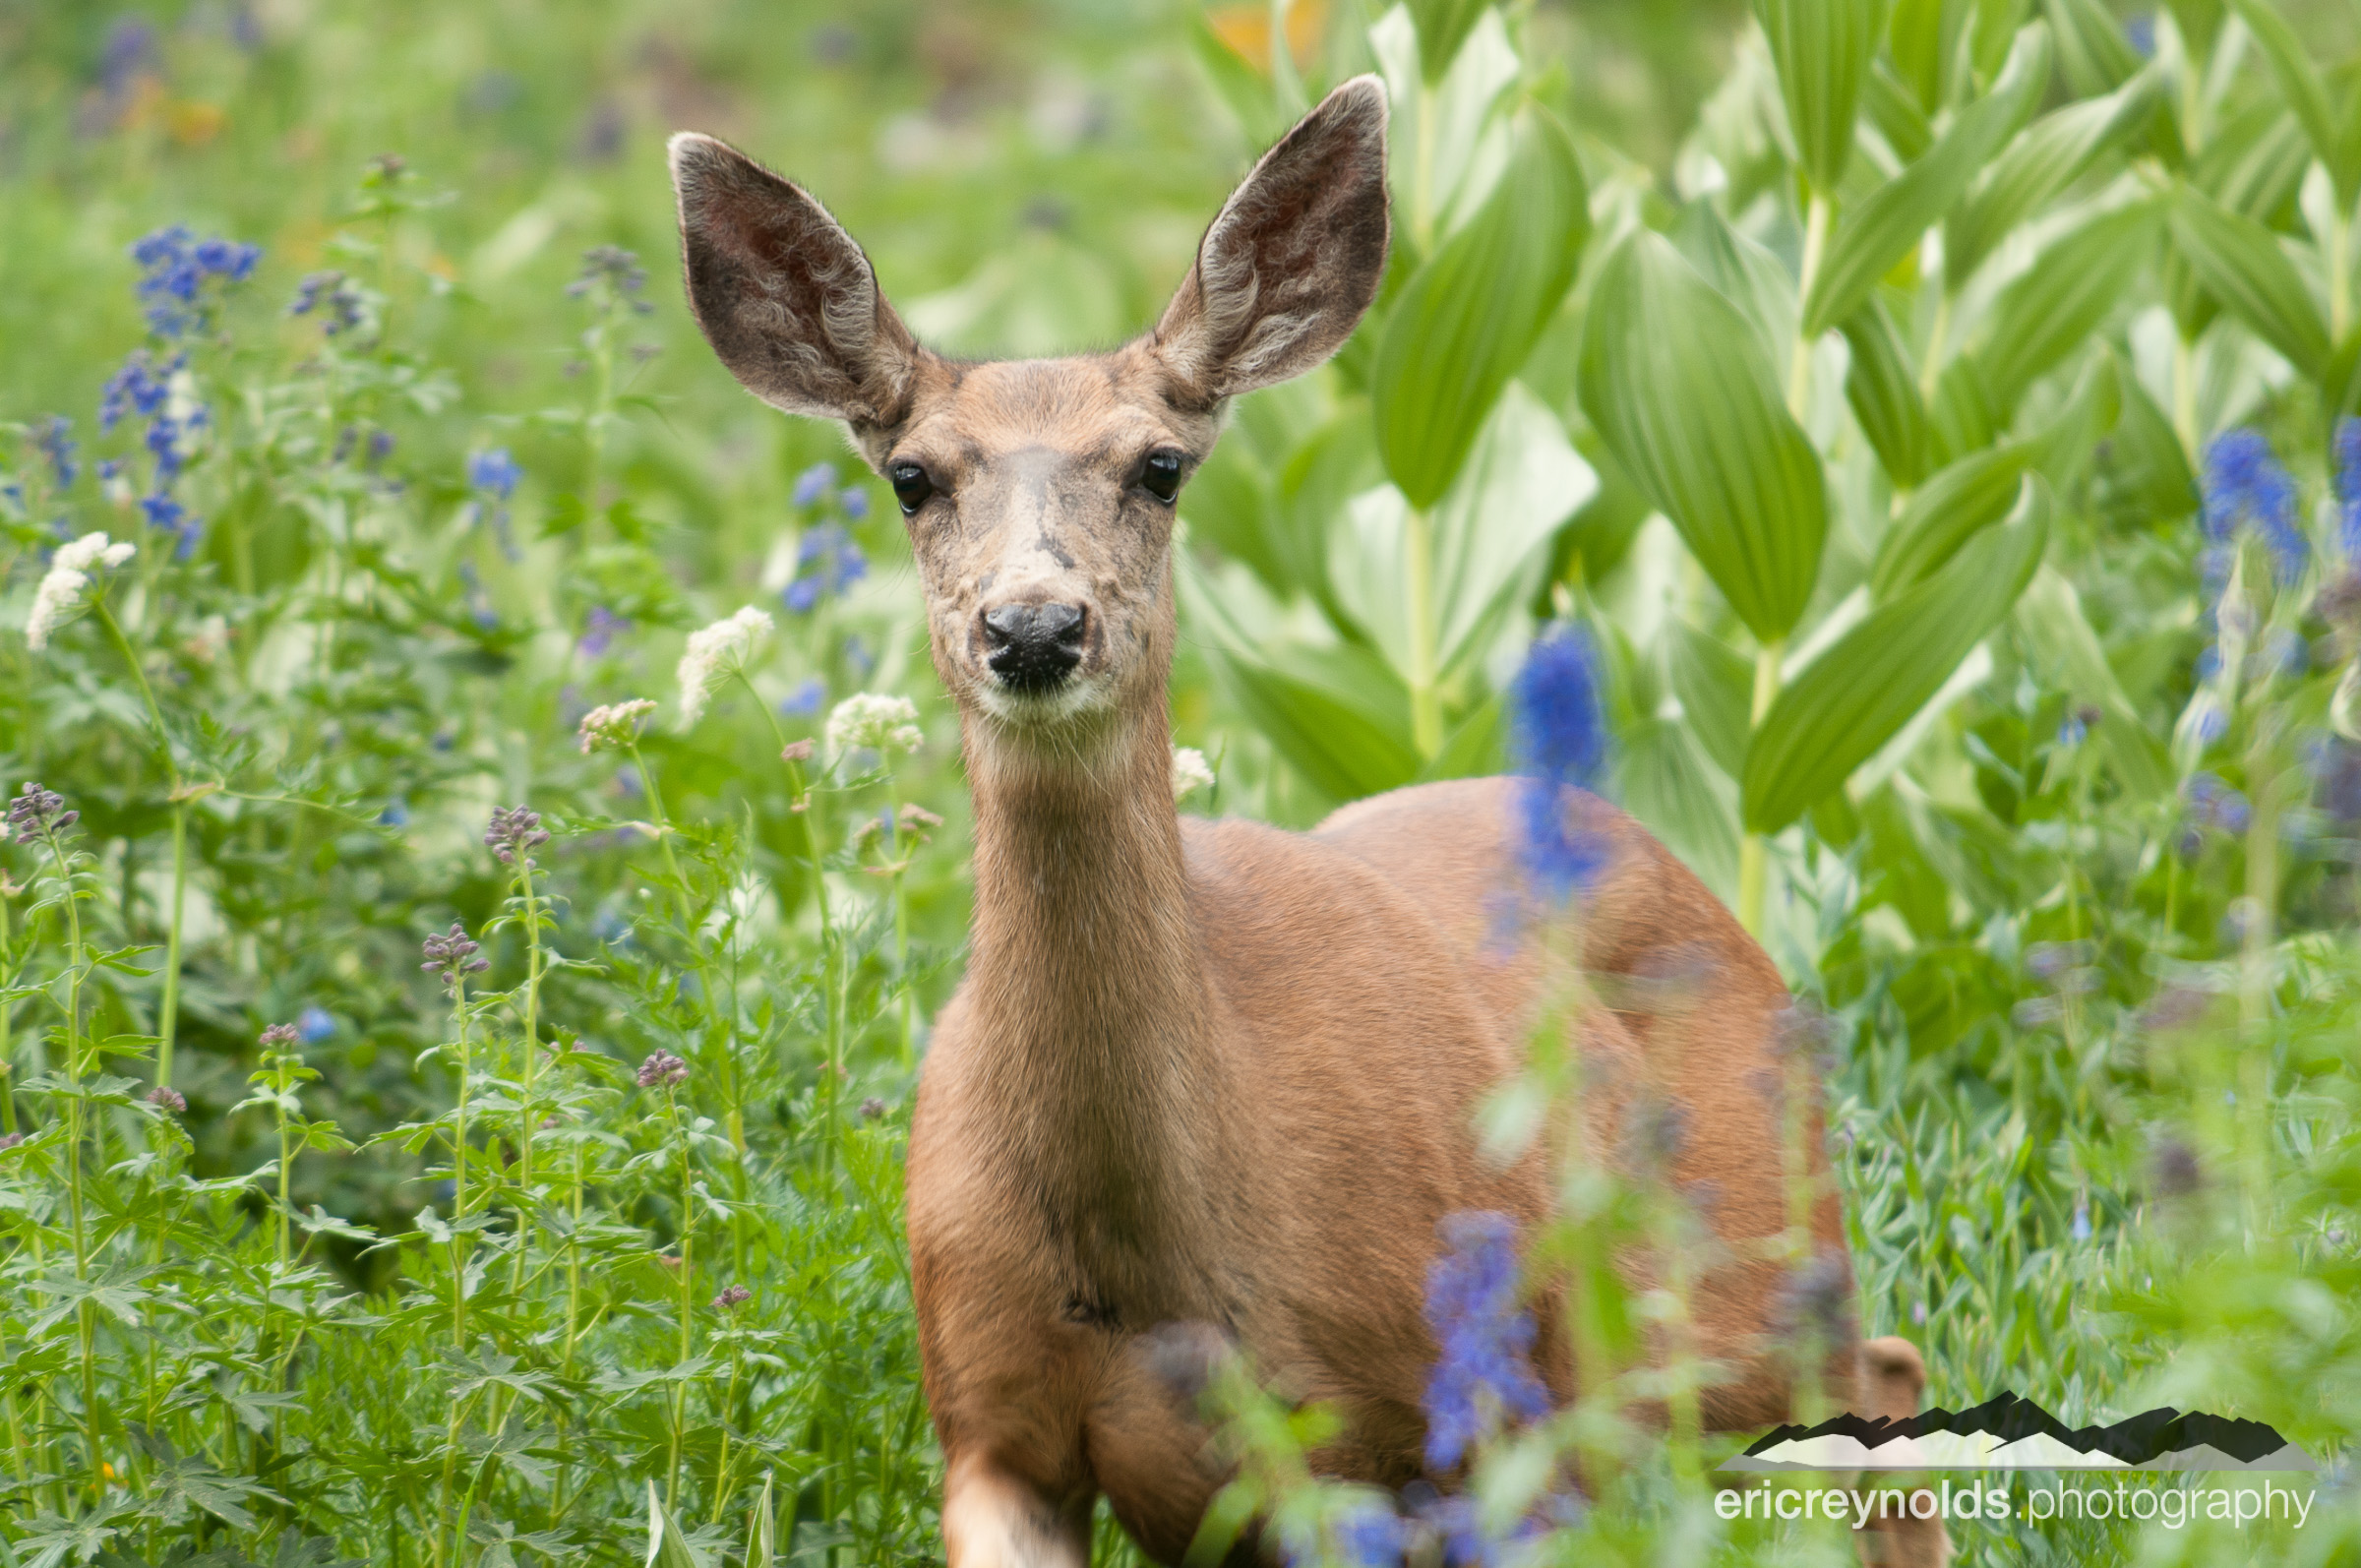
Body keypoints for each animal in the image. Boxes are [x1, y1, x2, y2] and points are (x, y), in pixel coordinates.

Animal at [675, 70, 1945, 1568]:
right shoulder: (990, 1426)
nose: (1035, 626)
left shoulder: (1424, 1436)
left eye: (1161, 466)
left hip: (1730, 1284)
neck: (1156, 1260)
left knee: (1884, 1376)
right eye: (914, 476)